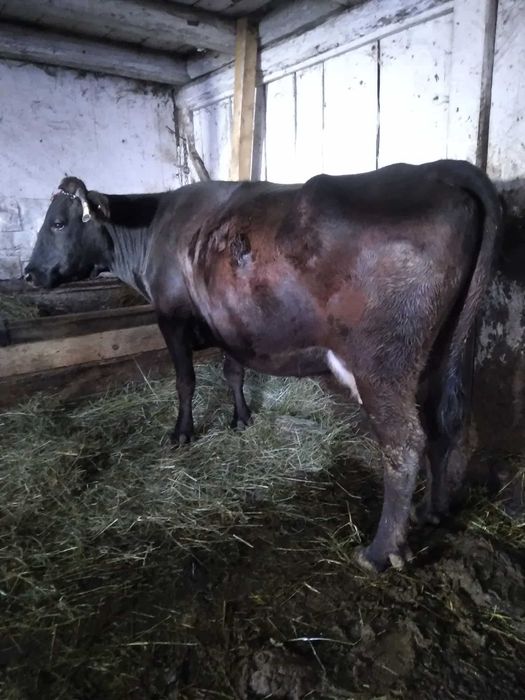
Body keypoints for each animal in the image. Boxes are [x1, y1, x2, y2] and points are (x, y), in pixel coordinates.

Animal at [24, 160, 502, 572]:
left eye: (59, 223)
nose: (29, 273)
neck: (153, 229)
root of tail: (438, 169)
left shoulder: (171, 317)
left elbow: (185, 380)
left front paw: (181, 433)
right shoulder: (228, 323)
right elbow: (233, 372)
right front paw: (241, 418)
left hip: (383, 364)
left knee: (404, 442)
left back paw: (380, 551)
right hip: (447, 347)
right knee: (446, 421)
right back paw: (431, 511)